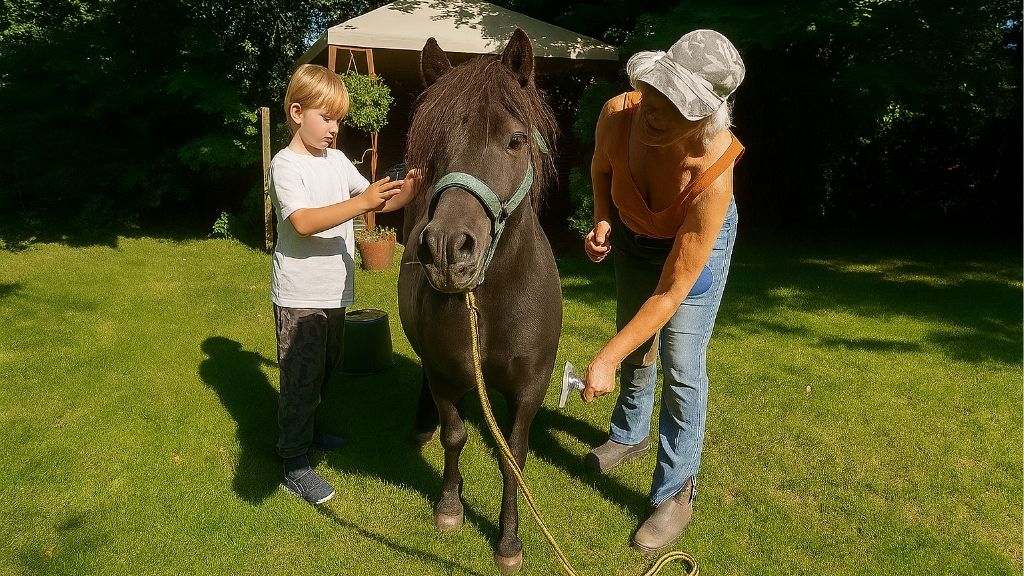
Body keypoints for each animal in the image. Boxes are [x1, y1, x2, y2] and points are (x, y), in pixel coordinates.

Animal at [397, 28, 562, 574]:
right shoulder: (446, 372)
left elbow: (514, 458)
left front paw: (509, 541)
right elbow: (455, 436)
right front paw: (450, 506)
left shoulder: (531, 388)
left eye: (516, 140)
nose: (449, 249)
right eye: (434, 144)